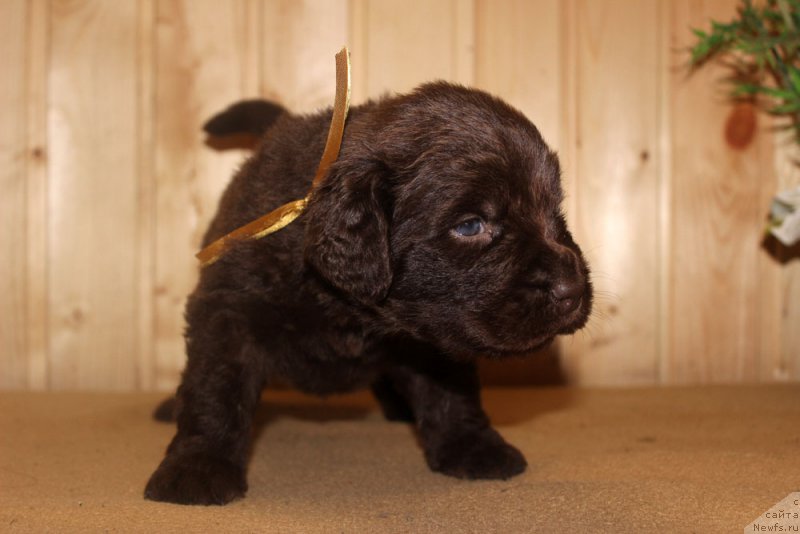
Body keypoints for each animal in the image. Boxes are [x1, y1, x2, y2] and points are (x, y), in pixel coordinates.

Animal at [145, 82, 592, 506]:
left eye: (555, 212)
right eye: (470, 225)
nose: (571, 291)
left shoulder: (433, 336)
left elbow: (452, 391)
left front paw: (473, 446)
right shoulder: (229, 312)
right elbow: (216, 389)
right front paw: (197, 466)